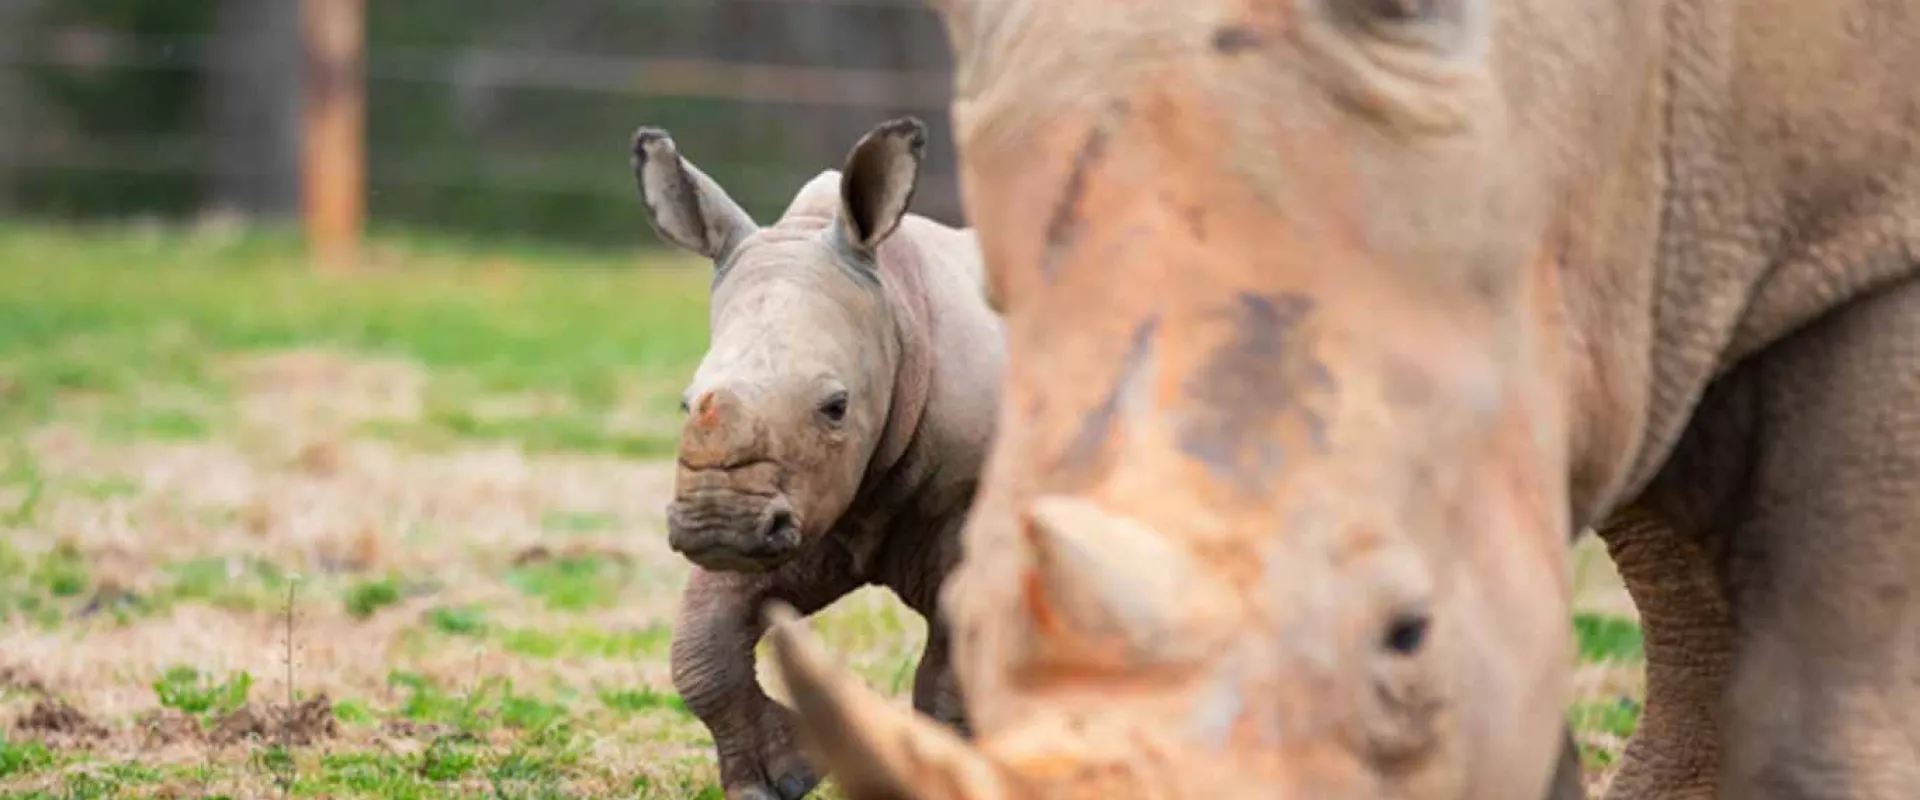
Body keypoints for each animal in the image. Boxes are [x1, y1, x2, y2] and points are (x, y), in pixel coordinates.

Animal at [629, 116, 1004, 800]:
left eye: (836, 406)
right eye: (685, 402)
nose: (717, 521)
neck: (899, 313)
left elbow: (948, 683)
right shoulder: (807, 506)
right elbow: (700, 642)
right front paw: (776, 779)